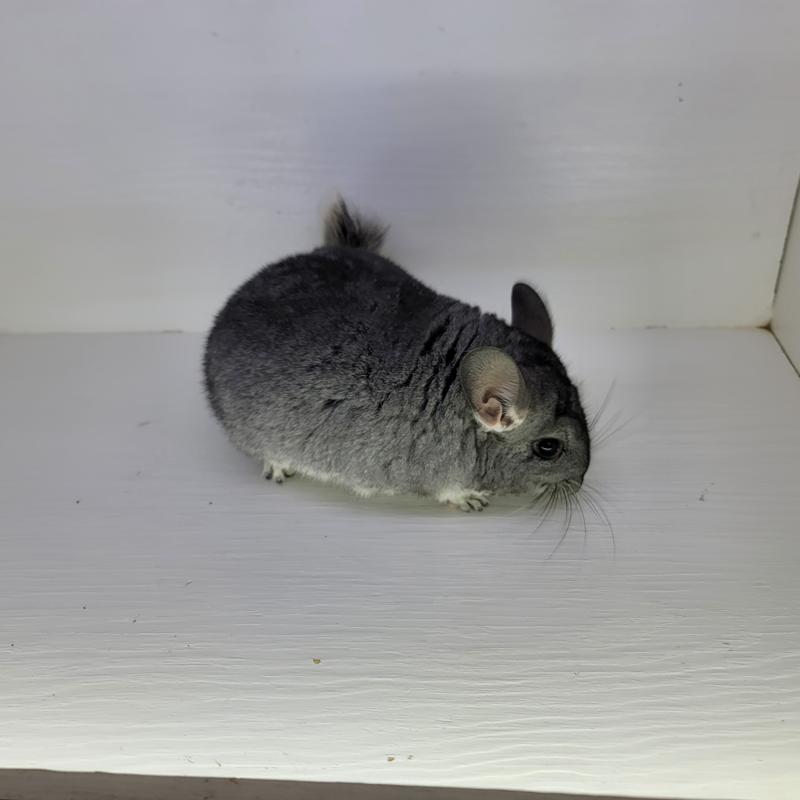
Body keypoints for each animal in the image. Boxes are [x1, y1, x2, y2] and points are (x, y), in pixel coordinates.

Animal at [203, 199, 590, 511]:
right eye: (548, 448)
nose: (581, 481)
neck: (460, 405)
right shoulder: (437, 472)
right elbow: (449, 490)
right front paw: (473, 499)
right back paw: (279, 467)